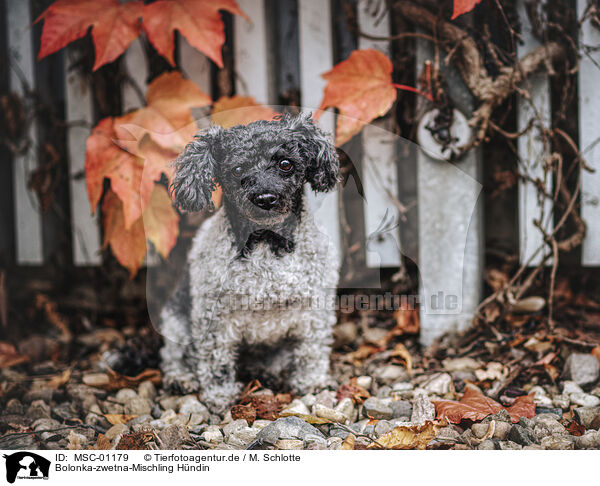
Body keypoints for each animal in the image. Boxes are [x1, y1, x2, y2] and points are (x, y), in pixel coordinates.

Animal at [159, 114, 340, 414]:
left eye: (285, 163)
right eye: (237, 169)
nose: (265, 198)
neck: (266, 244)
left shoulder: (316, 308)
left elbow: (311, 351)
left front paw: (311, 382)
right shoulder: (212, 316)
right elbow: (216, 361)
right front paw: (219, 395)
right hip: (175, 321)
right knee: (173, 355)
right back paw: (181, 378)